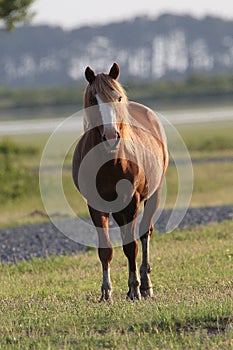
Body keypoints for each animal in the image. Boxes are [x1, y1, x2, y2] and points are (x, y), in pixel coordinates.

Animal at [72, 63, 168, 300]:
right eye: (93, 100)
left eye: (117, 98)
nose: (110, 135)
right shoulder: (95, 205)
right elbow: (105, 249)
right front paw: (106, 291)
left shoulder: (131, 201)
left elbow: (131, 246)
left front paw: (134, 288)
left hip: (153, 194)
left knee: (144, 234)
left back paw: (146, 285)